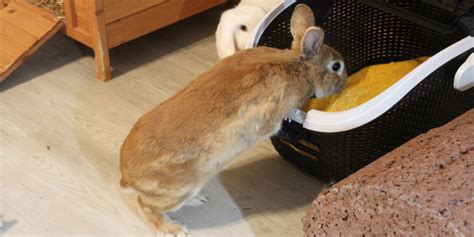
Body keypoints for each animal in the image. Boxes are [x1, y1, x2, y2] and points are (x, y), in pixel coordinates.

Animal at [118, 4, 348, 237]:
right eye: (336, 66)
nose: (344, 84)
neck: (299, 66)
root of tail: (127, 175)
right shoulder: (270, 118)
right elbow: (277, 127)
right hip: (180, 189)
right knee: (145, 206)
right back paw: (174, 229)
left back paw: (198, 200)